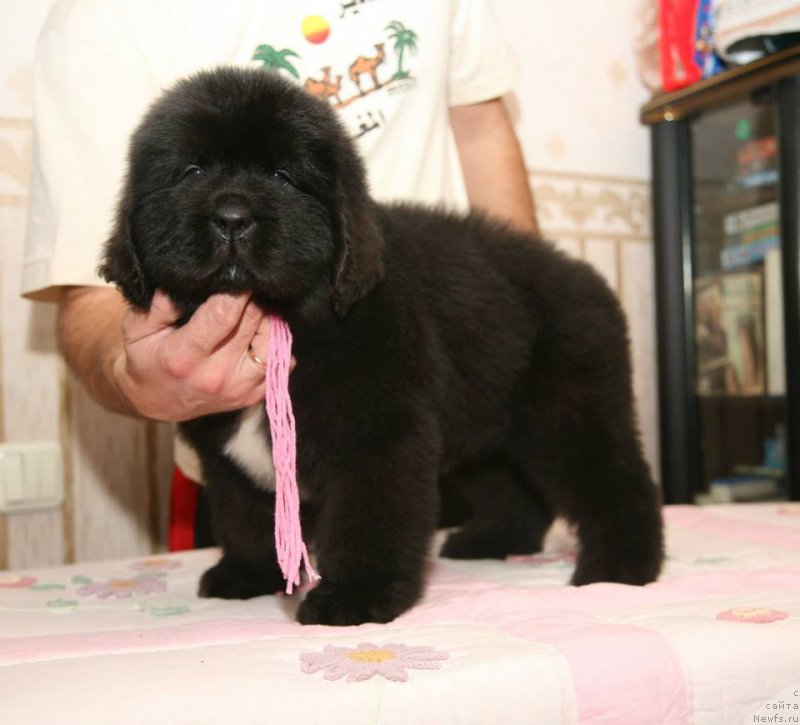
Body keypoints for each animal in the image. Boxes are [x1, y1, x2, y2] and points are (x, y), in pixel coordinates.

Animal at [100, 65, 664, 624]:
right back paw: (490, 541)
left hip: (570, 413)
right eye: (192, 172)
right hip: (486, 425)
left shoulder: (377, 433)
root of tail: (586, 276)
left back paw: (621, 568)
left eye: (282, 176)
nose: (233, 217)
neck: (291, 316)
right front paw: (249, 574)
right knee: (513, 489)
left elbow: (367, 519)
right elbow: (248, 517)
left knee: (619, 480)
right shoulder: (229, 459)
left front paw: (355, 597)